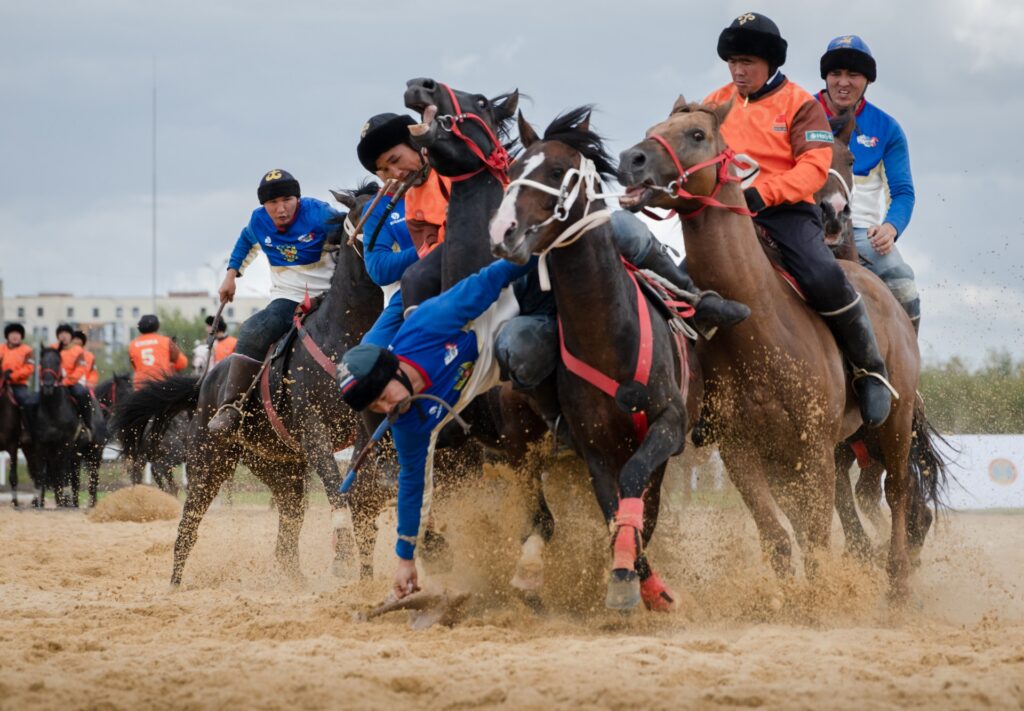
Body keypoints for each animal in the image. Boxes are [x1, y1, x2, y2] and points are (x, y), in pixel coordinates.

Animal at [114, 185, 387, 590]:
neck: (343, 334)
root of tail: (204, 385)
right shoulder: (315, 430)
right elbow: (335, 486)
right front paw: (342, 558)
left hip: (281, 470)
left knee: (287, 534)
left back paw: (296, 582)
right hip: (208, 463)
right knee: (188, 524)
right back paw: (176, 582)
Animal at [489, 108, 704, 614]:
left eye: (555, 172)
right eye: (513, 169)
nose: (503, 231)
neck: (608, 338)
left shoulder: (667, 426)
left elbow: (634, 492)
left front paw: (638, 581)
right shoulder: (593, 449)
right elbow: (612, 507)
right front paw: (629, 578)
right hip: (520, 439)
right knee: (539, 510)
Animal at [614, 100, 942, 602]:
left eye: (696, 134)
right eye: (655, 128)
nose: (630, 160)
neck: (761, 330)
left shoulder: (815, 450)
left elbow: (818, 538)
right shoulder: (742, 451)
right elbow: (779, 539)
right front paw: (792, 603)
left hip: (894, 423)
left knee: (901, 493)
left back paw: (898, 581)